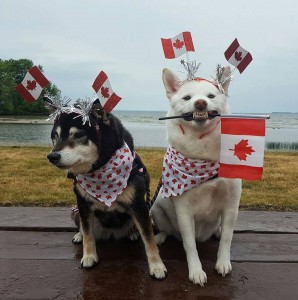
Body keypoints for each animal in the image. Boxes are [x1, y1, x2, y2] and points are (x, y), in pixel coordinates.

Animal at [151, 66, 242, 286]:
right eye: (187, 97)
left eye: (211, 96)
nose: (200, 102)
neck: (202, 154)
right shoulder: (184, 211)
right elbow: (190, 245)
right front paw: (196, 271)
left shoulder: (231, 204)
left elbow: (227, 238)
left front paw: (223, 261)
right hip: (157, 207)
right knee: (168, 230)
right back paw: (160, 237)